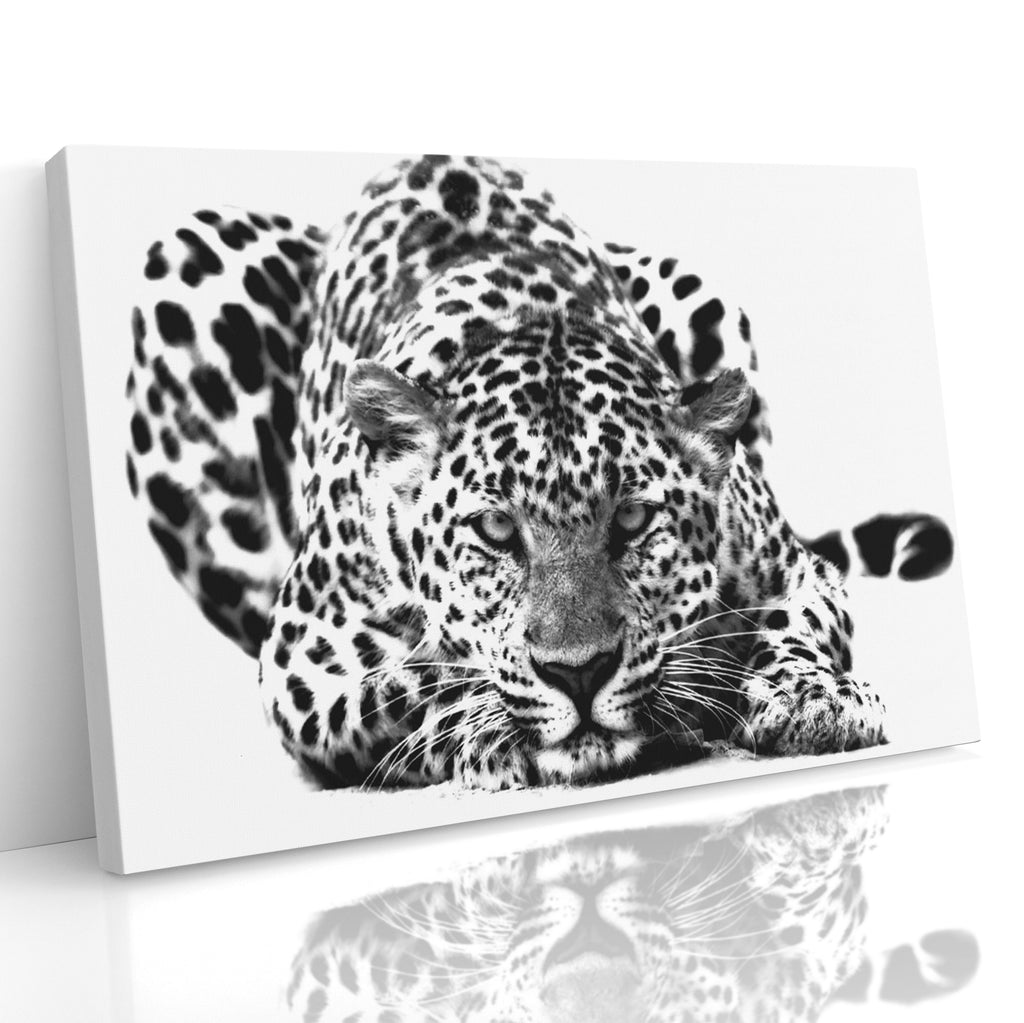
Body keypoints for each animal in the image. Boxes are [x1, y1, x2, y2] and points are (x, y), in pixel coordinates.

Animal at [125, 154, 955, 790]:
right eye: (496, 529)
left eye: (633, 518)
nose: (579, 674)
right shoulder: (301, 665)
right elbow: (400, 691)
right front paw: (487, 725)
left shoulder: (794, 569)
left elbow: (798, 626)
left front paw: (817, 696)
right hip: (187, 263)